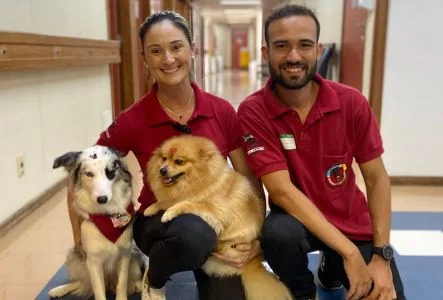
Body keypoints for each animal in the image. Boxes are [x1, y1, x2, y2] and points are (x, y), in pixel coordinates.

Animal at [144, 135, 294, 300]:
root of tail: (253, 262)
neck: (197, 181)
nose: (162, 170)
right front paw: (151, 208)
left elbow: (186, 203)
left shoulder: (214, 210)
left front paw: (169, 213)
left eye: (179, 161)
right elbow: (164, 202)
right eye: (164, 158)